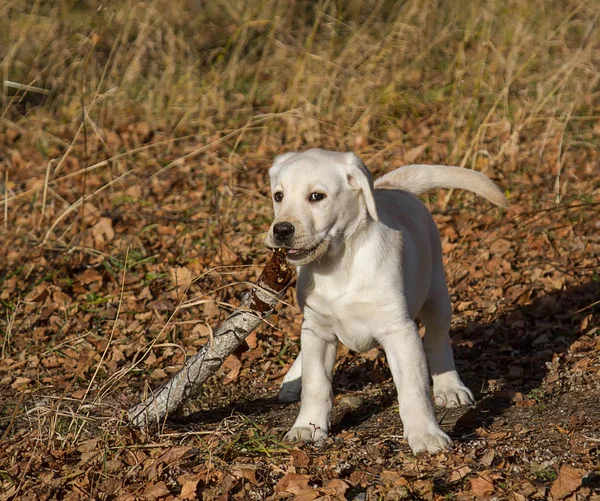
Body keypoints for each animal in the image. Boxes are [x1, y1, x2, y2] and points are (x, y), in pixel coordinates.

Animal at [264, 146, 508, 452]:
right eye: (278, 196)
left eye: (317, 196)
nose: (281, 230)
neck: (339, 262)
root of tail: (391, 187)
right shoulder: (318, 331)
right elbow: (316, 383)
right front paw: (308, 426)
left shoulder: (399, 331)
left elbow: (414, 390)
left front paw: (425, 434)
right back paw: (293, 379)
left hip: (436, 295)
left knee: (438, 341)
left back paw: (449, 386)